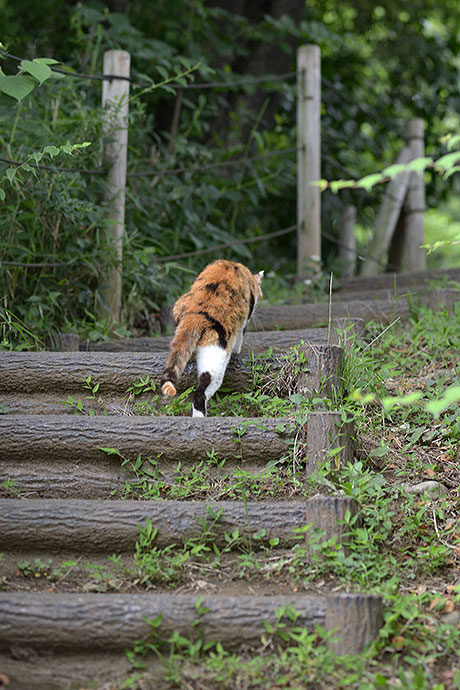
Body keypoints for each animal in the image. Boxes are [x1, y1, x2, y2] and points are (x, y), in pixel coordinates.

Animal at [161, 258, 262, 416]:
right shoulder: (243, 321)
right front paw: (237, 352)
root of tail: (196, 315)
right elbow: (239, 339)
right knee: (201, 392)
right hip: (215, 359)